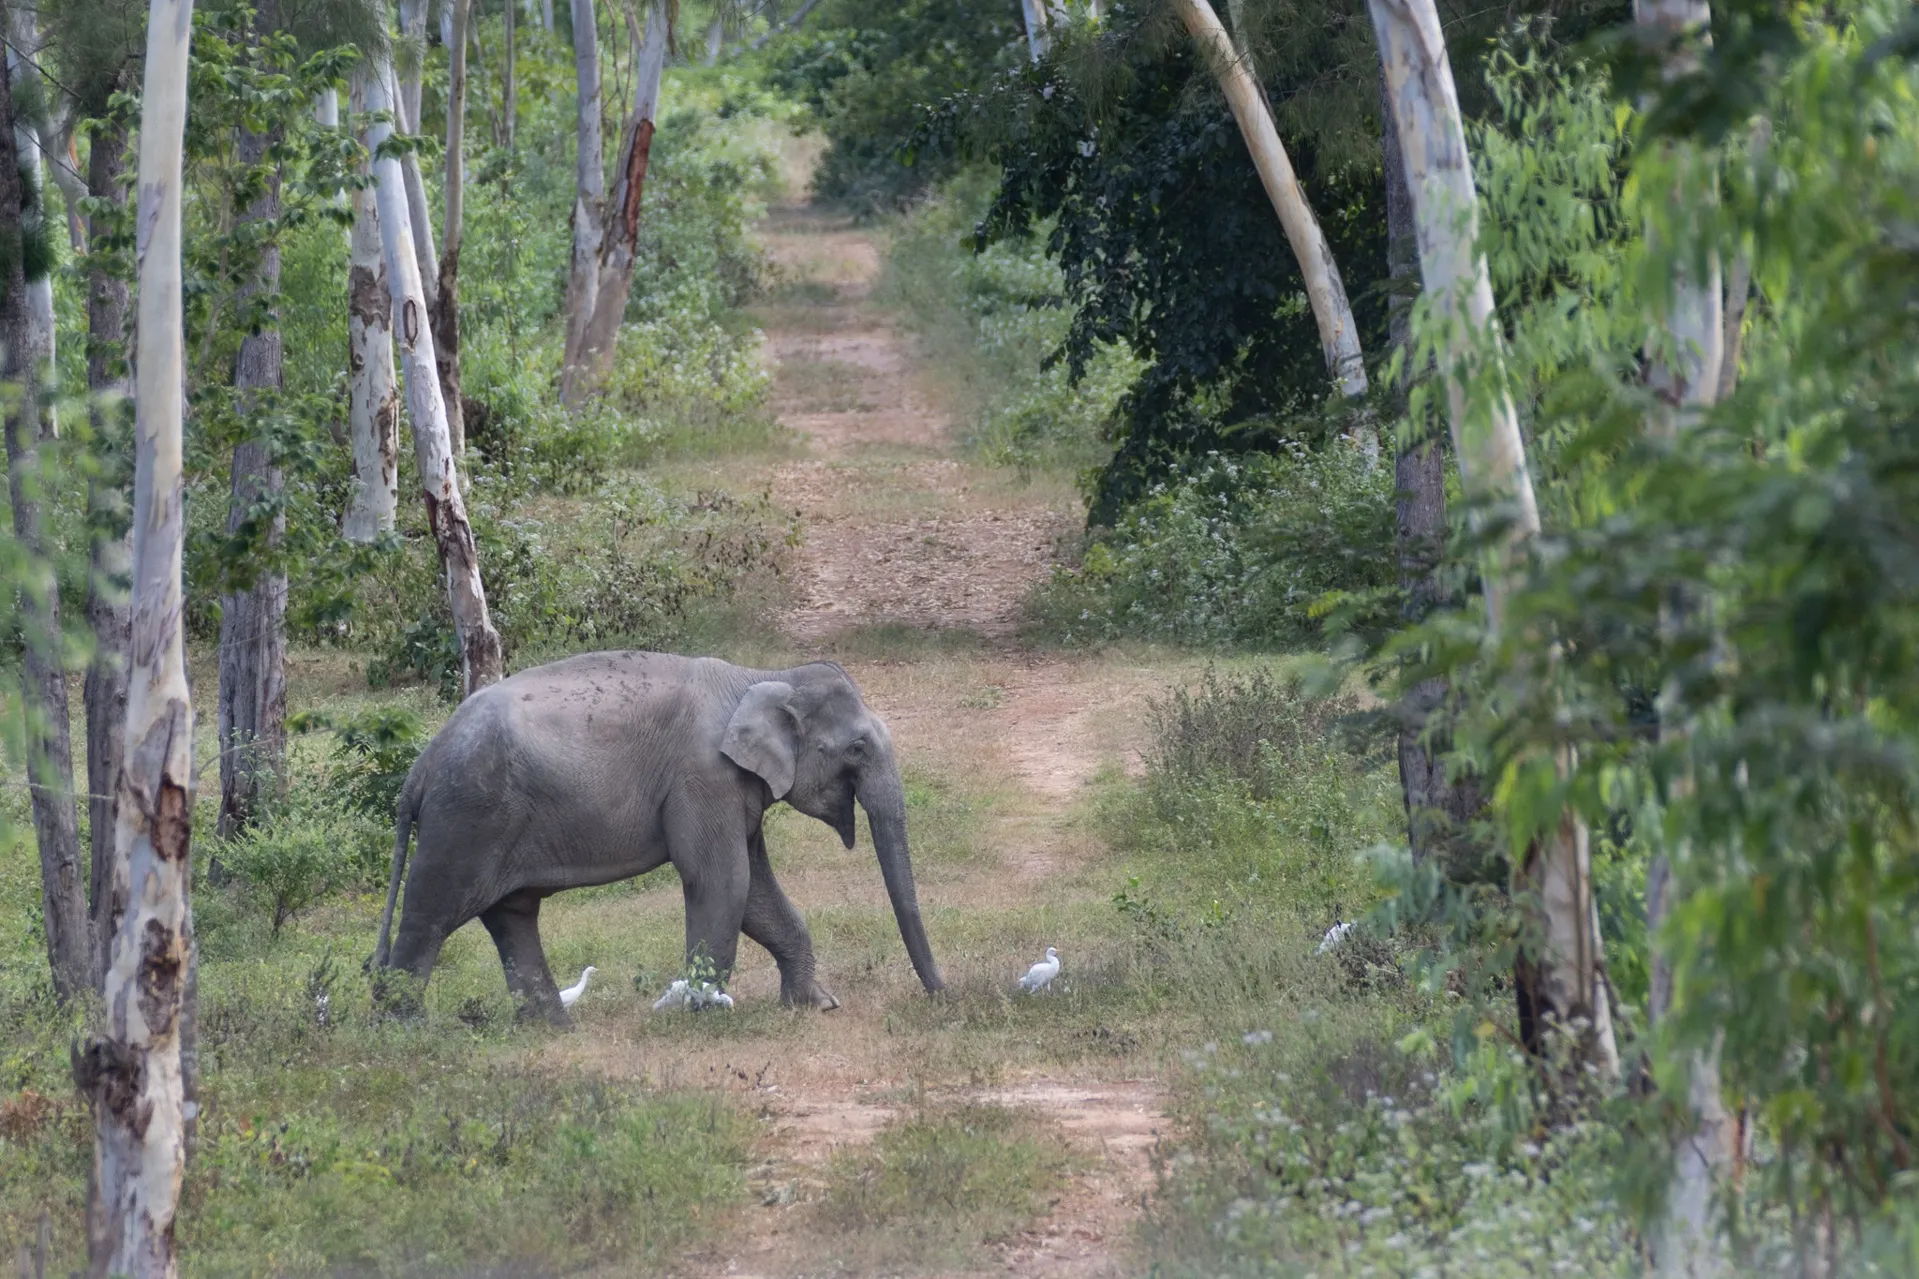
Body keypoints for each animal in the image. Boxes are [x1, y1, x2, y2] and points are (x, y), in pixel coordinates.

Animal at [371, 651, 945, 1026]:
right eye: (857, 748)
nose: (942, 997)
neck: (761, 677)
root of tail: (418, 769)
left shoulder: (734, 787)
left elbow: (754, 891)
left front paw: (815, 1005)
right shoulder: (704, 777)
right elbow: (722, 880)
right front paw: (701, 1014)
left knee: (512, 915)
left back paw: (553, 1029)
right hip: (466, 817)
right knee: (431, 915)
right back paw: (402, 1036)